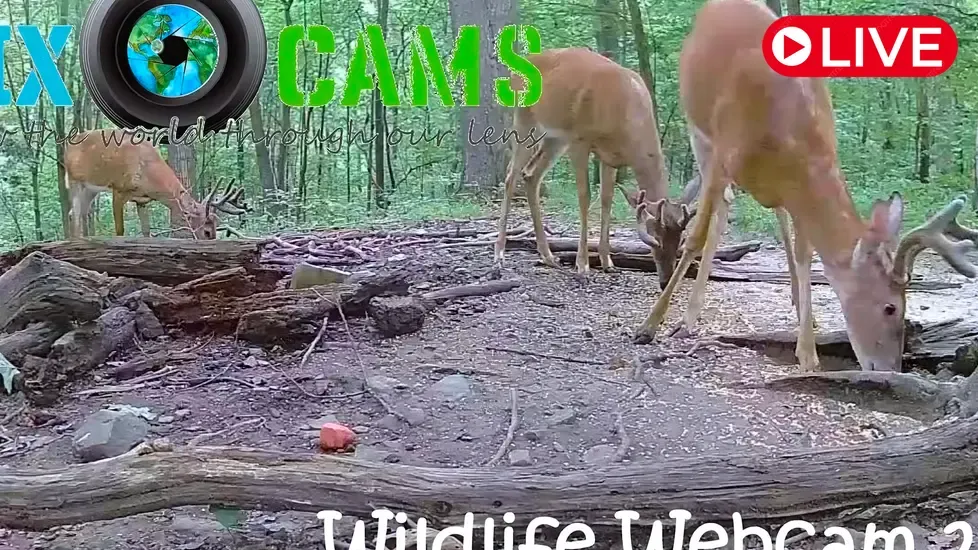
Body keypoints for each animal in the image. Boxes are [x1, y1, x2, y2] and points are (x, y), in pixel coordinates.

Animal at [64, 128, 246, 240]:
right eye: (207, 231)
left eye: (216, 228)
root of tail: (68, 145)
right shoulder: (119, 188)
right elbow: (120, 231)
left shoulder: (142, 200)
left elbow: (147, 232)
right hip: (74, 180)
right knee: (75, 213)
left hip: (90, 189)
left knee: (76, 213)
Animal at [494, 47, 694, 285]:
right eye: (654, 240)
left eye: (680, 241)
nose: (666, 280)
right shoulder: (580, 140)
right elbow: (585, 196)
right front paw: (583, 265)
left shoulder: (611, 157)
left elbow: (607, 199)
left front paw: (608, 262)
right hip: (524, 118)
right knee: (510, 176)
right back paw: (499, 254)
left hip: (555, 137)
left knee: (531, 174)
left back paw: (548, 256)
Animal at [631, 0, 978, 374]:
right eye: (890, 307)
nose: (890, 370)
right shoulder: (724, 152)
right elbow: (695, 236)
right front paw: (649, 326)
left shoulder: (797, 187)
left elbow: (803, 255)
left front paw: (808, 352)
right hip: (700, 132)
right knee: (722, 210)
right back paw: (688, 319)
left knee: (775, 220)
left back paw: (800, 312)